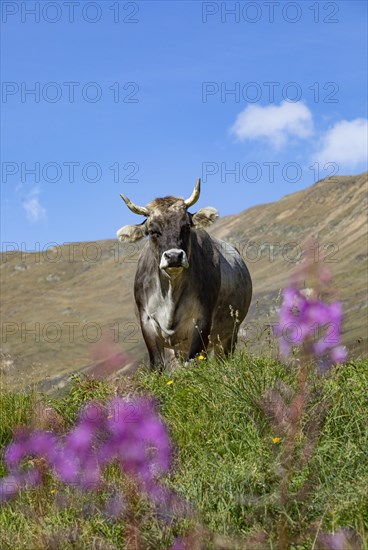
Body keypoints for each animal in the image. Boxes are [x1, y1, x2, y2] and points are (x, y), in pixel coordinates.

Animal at [116, 180, 252, 370]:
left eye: (186, 225)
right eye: (152, 231)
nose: (174, 256)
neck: (170, 293)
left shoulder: (202, 320)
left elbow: (195, 361)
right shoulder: (147, 321)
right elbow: (157, 365)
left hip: (228, 334)